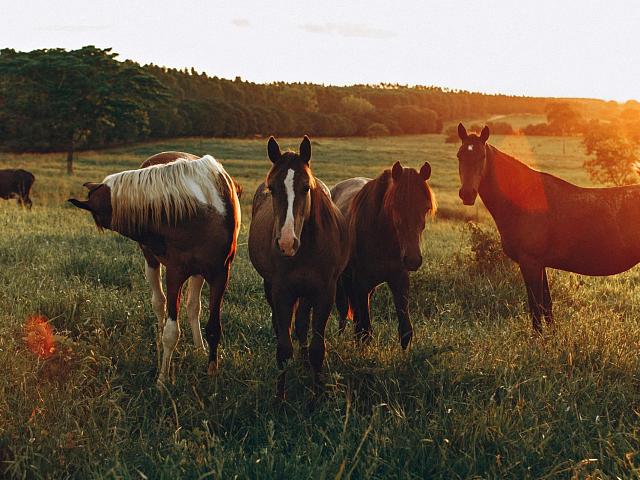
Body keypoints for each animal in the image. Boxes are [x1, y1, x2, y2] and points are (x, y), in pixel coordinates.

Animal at [68, 152, 240, 384]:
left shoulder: (220, 274)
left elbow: (214, 327)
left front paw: (211, 373)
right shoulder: (175, 273)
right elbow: (171, 331)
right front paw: (162, 379)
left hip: (198, 273)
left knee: (192, 307)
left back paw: (198, 348)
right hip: (152, 263)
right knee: (159, 304)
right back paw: (159, 345)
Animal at [248, 136, 348, 398]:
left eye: (306, 187)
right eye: (272, 188)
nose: (286, 242)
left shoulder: (324, 293)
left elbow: (317, 348)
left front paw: (316, 396)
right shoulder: (282, 292)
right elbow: (283, 349)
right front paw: (280, 398)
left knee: (302, 324)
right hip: (272, 287)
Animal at [330, 162, 440, 348]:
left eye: (426, 208)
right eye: (395, 206)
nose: (413, 260)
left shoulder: (399, 280)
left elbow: (405, 330)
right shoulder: (360, 282)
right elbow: (365, 331)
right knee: (344, 311)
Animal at [456, 123, 640, 334]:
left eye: (482, 156)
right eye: (459, 155)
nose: (467, 194)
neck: (524, 199)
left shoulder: (530, 263)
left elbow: (536, 306)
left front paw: (538, 338)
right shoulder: (540, 264)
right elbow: (547, 305)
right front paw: (552, 336)